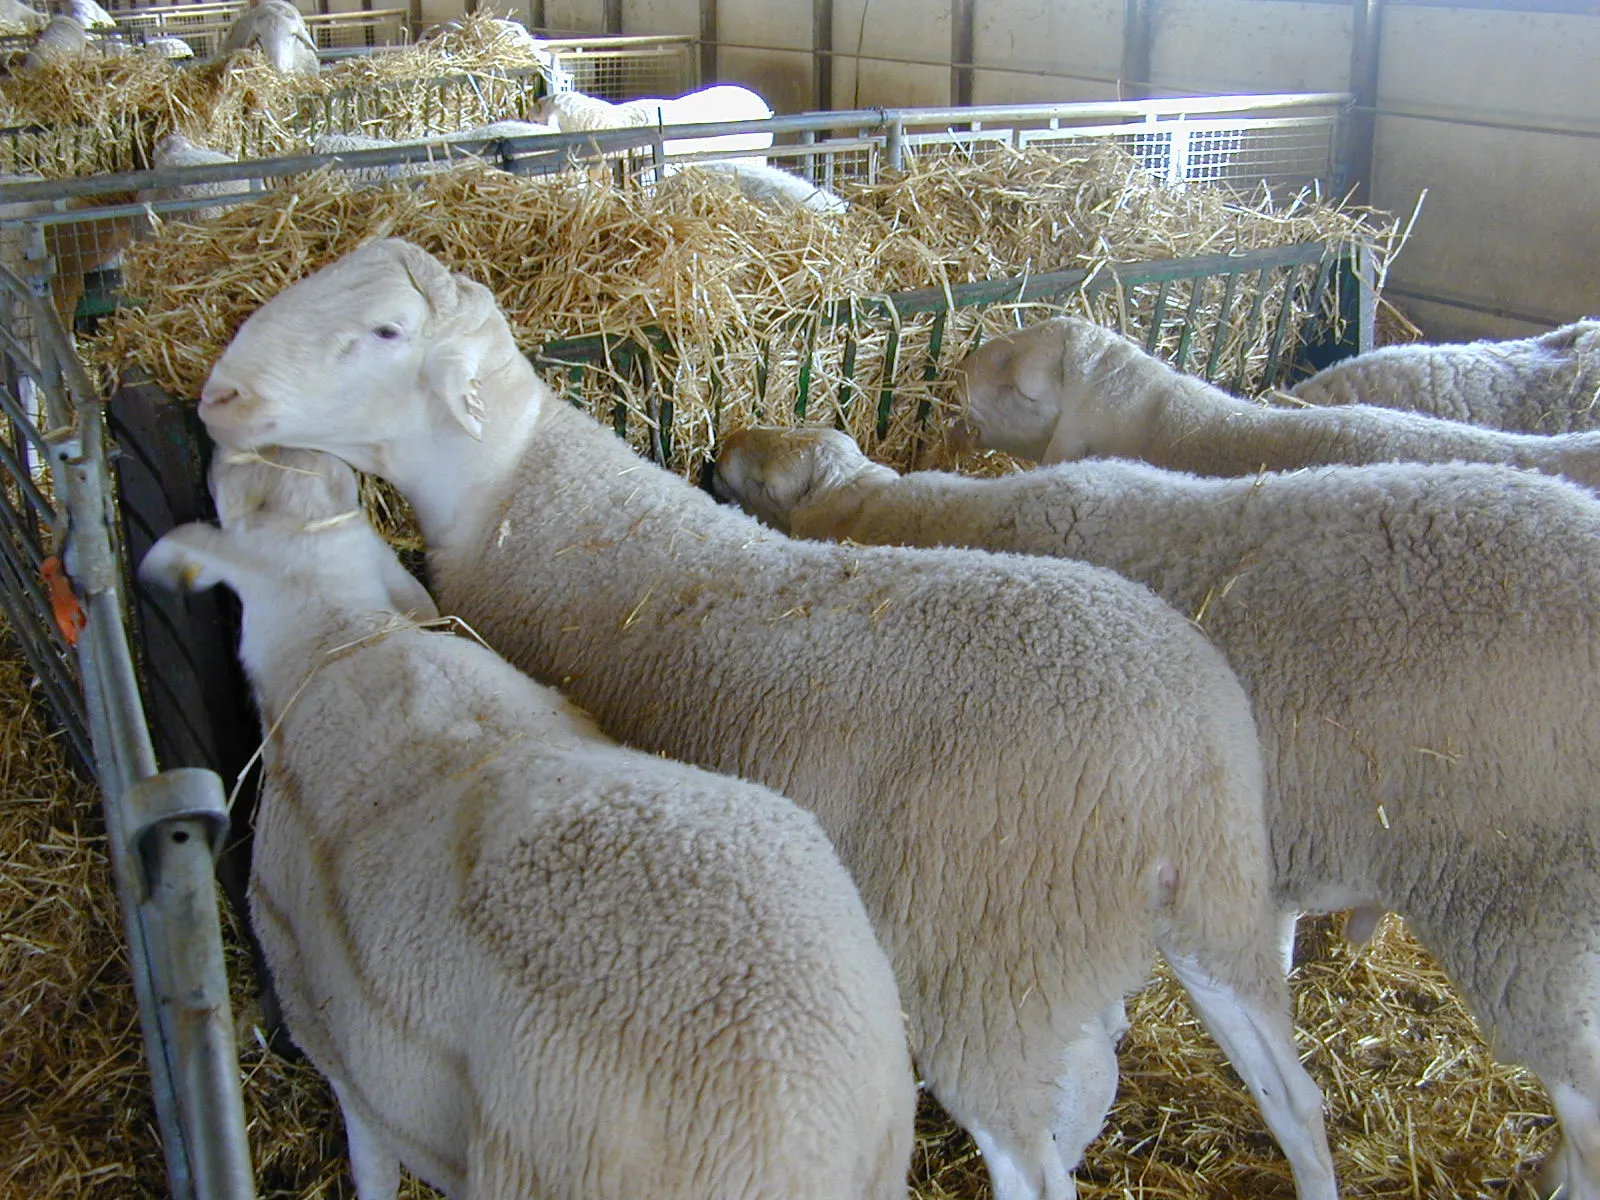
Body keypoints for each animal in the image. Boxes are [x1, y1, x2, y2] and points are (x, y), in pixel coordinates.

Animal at [139, 446, 917, 1200]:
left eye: (234, 505)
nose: (239, 447)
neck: (340, 632)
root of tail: (813, 1122)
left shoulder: (330, 1033)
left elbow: (372, 1167)